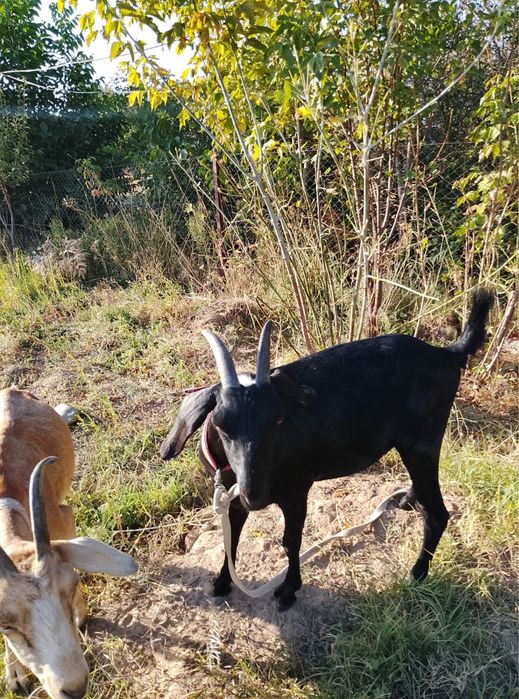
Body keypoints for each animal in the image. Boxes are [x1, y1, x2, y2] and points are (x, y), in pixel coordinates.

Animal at [0, 388, 138, 699]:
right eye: (6, 624)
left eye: (72, 585)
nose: (74, 688)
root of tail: (12, 391)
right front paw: (15, 674)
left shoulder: (64, 519)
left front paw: (81, 617)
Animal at [160, 291, 492, 610]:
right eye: (220, 424)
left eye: (277, 420)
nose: (255, 495)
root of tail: (446, 354)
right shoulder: (233, 496)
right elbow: (232, 538)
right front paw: (222, 581)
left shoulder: (297, 490)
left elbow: (290, 541)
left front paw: (287, 591)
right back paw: (408, 500)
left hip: (422, 440)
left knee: (437, 513)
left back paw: (416, 574)